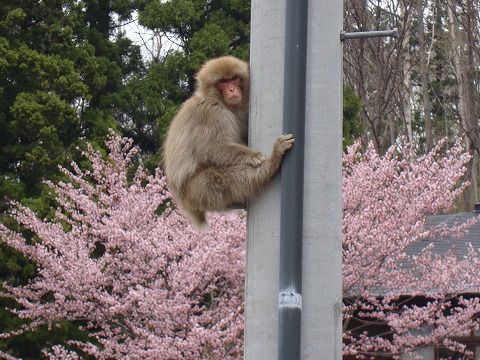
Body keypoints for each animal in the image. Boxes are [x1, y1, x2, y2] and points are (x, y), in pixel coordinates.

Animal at [163, 54, 294, 229]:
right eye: (223, 82)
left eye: (233, 79)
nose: (232, 89)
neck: (220, 101)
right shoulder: (213, 112)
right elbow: (212, 148)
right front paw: (253, 156)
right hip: (195, 190)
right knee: (215, 178)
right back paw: (271, 162)